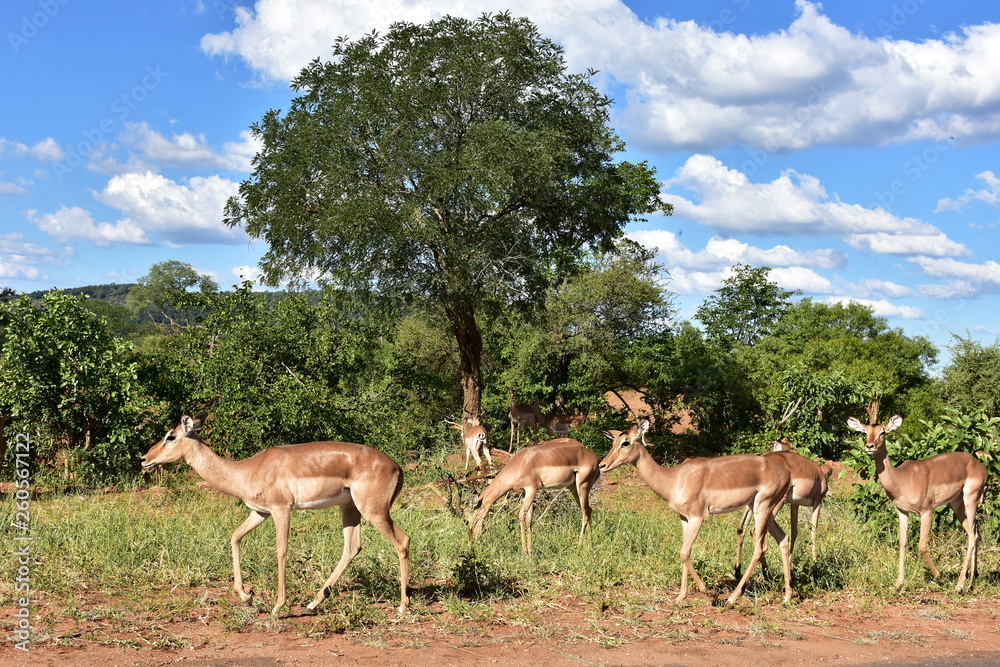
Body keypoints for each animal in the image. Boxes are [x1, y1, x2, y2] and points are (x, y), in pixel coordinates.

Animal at [141, 414, 410, 616]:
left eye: (170, 436)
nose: (145, 459)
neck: (246, 470)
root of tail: (396, 467)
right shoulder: (260, 512)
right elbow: (235, 537)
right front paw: (246, 596)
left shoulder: (281, 509)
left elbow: (281, 550)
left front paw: (277, 606)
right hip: (350, 509)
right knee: (352, 548)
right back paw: (312, 603)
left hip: (374, 511)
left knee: (403, 541)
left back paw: (402, 606)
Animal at [468, 437, 600, 555]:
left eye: (468, 521)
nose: (471, 542)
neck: (520, 463)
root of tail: (595, 459)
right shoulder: (525, 493)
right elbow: (529, 519)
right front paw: (530, 551)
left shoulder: (531, 489)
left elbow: (521, 516)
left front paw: (524, 553)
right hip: (573, 488)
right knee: (588, 510)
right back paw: (590, 546)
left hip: (582, 486)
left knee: (585, 513)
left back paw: (579, 547)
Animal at [599, 419, 793, 604]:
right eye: (613, 442)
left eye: (626, 442)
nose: (602, 465)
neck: (674, 479)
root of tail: (787, 473)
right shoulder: (684, 519)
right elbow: (686, 551)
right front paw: (680, 597)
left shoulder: (697, 518)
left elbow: (684, 553)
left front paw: (707, 591)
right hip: (764, 510)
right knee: (783, 538)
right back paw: (786, 597)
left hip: (762, 508)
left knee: (760, 548)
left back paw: (731, 599)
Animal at [847, 409, 988, 592]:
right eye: (865, 432)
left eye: (883, 432)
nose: (870, 446)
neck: (901, 479)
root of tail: (980, 466)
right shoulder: (902, 511)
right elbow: (902, 542)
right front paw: (899, 584)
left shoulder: (927, 511)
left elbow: (921, 545)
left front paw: (940, 577)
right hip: (957, 504)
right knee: (975, 533)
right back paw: (972, 580)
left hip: (970, 499)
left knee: (972, 536)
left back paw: (960, 584)